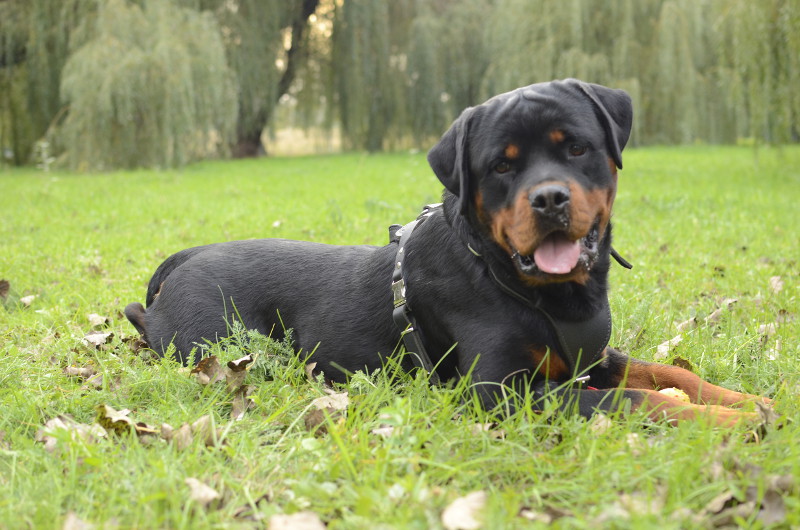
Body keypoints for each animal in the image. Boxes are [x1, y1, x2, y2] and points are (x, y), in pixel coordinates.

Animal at [128, 78, 764, 424]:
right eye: (501, 165)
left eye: (577, 148)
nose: (549, 199)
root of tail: (184, 260)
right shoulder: (503, 392)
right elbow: (635, 400)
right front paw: (719, 422)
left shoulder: (589, 356)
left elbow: (663, 372)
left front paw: (744, 400)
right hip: (228, 346)